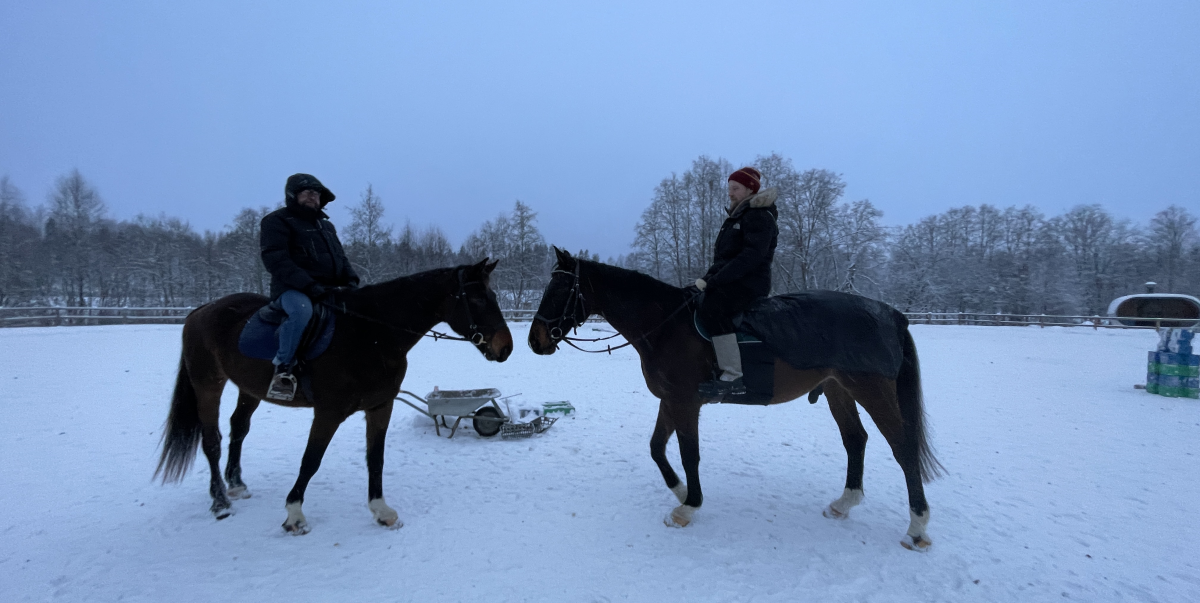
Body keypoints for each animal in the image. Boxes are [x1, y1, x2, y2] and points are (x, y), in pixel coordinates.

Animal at [154, 258, 511, 533]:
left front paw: (381, 511)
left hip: (248, 388)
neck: (373, 332)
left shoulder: (379, 406)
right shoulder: (329, 412)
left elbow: (376, 458)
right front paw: (294, 516)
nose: (505, 347)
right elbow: (311, 460)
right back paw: (220, 503)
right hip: (207, 385)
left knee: (238, 428)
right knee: (211, 441)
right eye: (479, 299)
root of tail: (200, 311)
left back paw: (237, 484)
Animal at [530, 249, 940, 550]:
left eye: (559, 290)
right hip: (839, 390)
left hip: (871, 391)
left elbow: (688, 454)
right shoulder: (670, 400)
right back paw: (844, 503)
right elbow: (656, 449)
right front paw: (681, 491)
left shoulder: (685, 403)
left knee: (903, 448)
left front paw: (688, 507)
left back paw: (917, 528)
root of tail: (891, 315)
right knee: (856, 439)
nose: (536, 340)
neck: (666, 325)